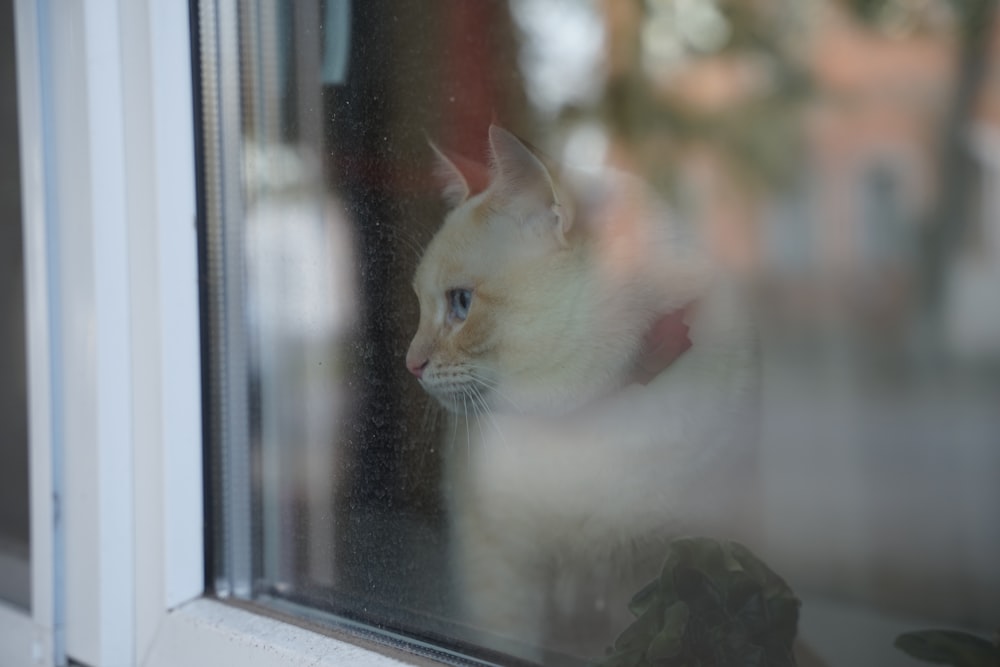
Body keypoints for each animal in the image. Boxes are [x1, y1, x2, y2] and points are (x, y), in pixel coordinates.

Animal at [406, 125, 756, 664]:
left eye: (461, 303)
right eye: (422, 305)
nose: (410, 364)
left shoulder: (656, 574)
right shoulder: (504, 571)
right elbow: (510, 641)